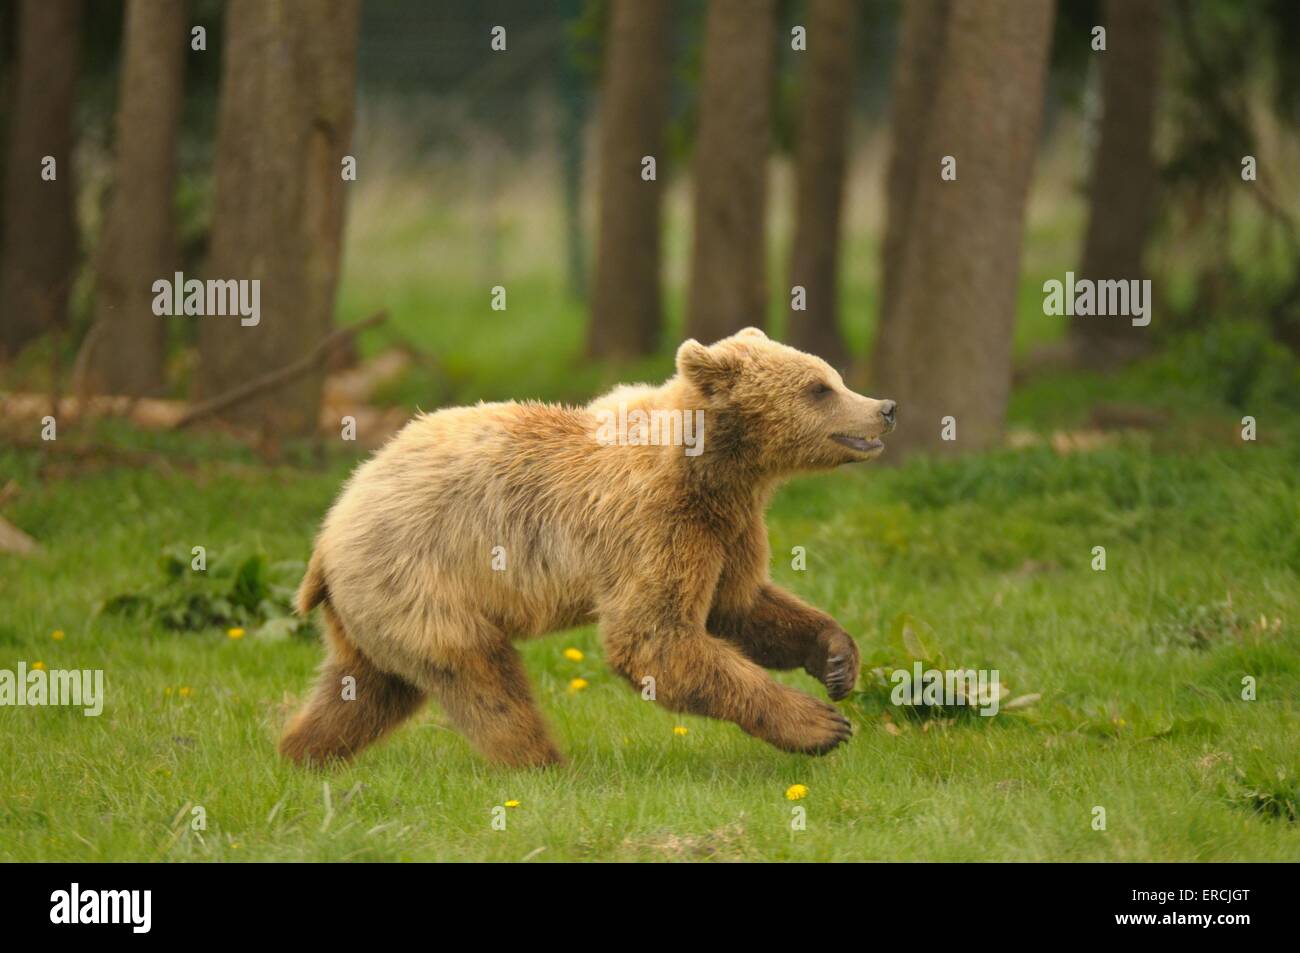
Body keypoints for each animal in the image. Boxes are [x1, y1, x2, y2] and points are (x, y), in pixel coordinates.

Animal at [279, 327, 897, 768]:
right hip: (420, 577)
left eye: (833, 376)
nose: (884, 408)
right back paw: (543, 763)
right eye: (819, 387)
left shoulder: (729, 529)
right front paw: (821, 725)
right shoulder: (653, 525)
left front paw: (838, 658)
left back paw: (303, 753)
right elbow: (653, 638)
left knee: (369, 688)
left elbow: (738, 605)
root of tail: (330, 526)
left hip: (374, 606)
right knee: (483, 678)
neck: (714, 469)